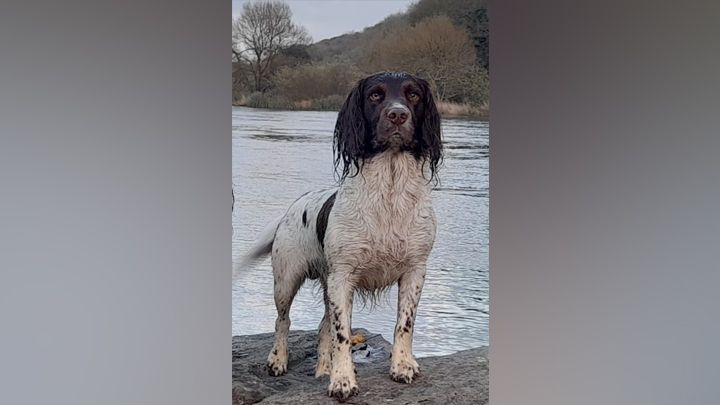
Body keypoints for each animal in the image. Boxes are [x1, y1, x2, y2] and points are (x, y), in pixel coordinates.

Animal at [239, 70, 442, 398]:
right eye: (375, 95)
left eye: (413, 95)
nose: (398, 115)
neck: (389, 194)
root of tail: (292, 206)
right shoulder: (343, 276)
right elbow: (343, 333)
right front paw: (342, 380)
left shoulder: (414, 270)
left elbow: (404, 323)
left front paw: (402, 365)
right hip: (286, 279)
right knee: (283, 321)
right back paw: (278, 360)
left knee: (323, 326)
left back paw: (323, 368)